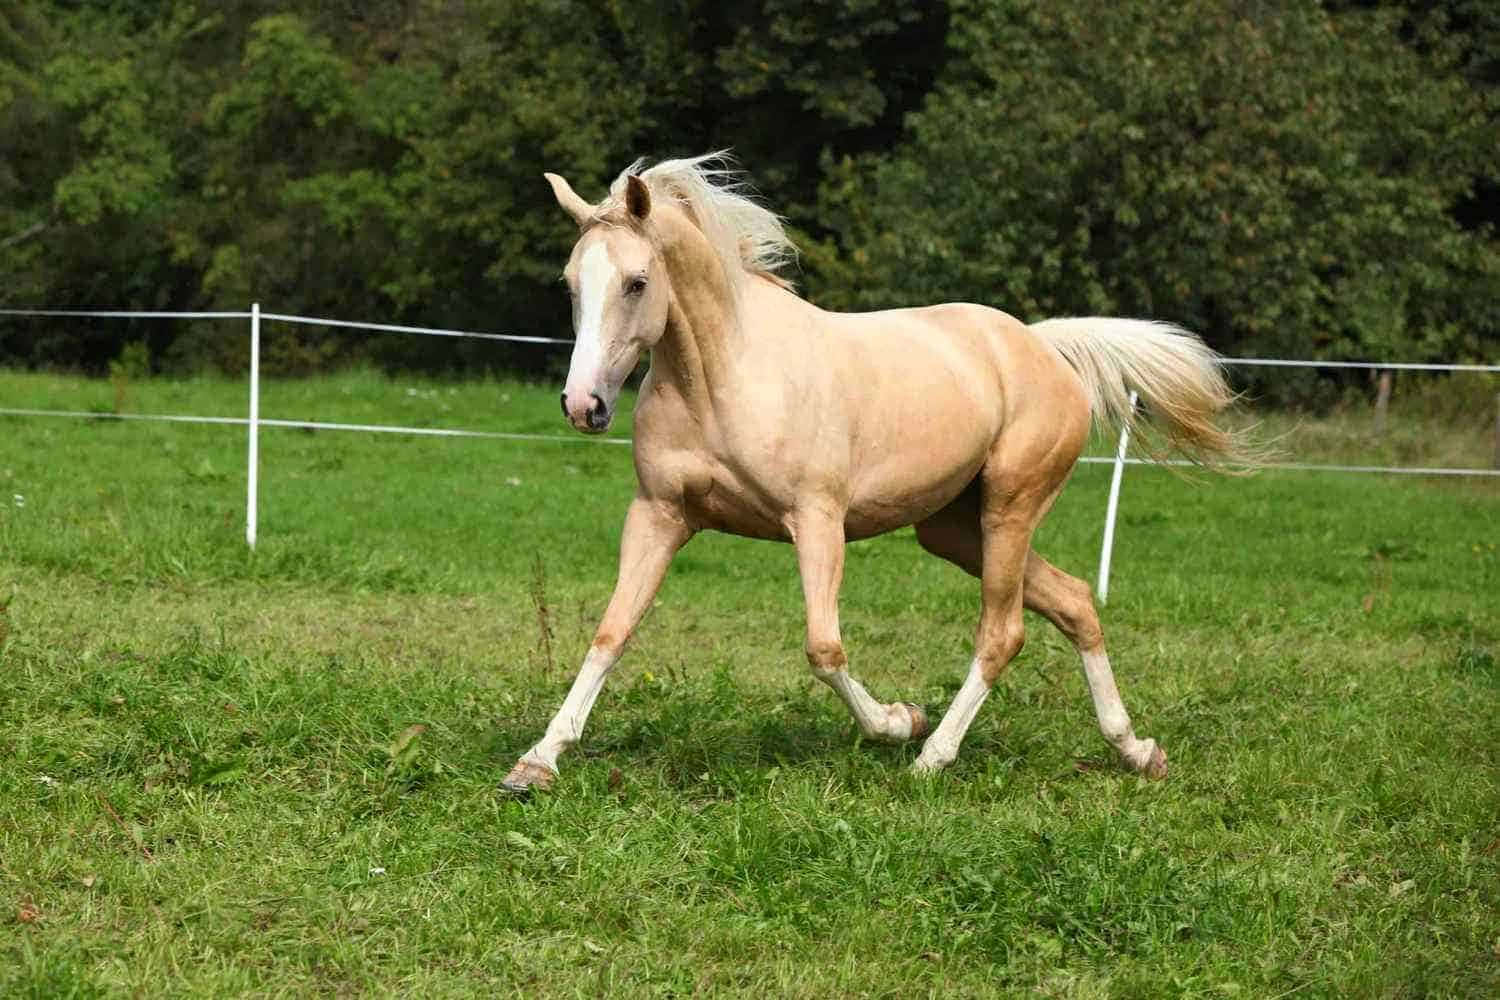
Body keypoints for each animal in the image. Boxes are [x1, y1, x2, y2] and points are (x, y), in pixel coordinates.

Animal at [501, 153, 1241, 794]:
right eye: (571, 285)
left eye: (637, 283)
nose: (584, 405)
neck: (721, 379)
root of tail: (1042, 347)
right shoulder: (660, 514)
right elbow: (612, 631)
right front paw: (537, 762)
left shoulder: (816, 520)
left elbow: (824, 648)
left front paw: (897, 721)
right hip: (954, 531)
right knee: (1077, 602)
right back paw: (1137, 750)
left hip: (1010, 509)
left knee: (1002, 633)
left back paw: (932, 756)